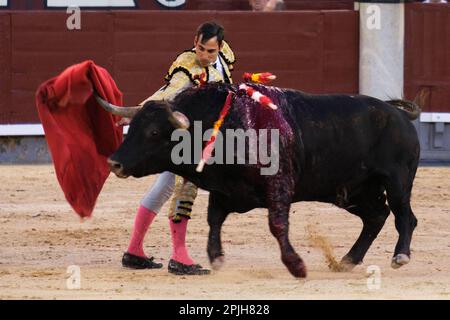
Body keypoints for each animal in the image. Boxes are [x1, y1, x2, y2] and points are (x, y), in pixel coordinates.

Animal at [96, 83, 424, 278]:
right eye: (132, 126)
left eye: (153, 132)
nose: (114, 162)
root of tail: (399, 115)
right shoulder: (225, 189)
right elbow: (214, 218)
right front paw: (215, 257)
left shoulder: (279, 187)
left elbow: (277, 225)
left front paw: (295, 265)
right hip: (354, 192)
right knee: (377, 216)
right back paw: (347, 260)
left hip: (397, 181)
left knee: (404, 216)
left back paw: (400, 256)